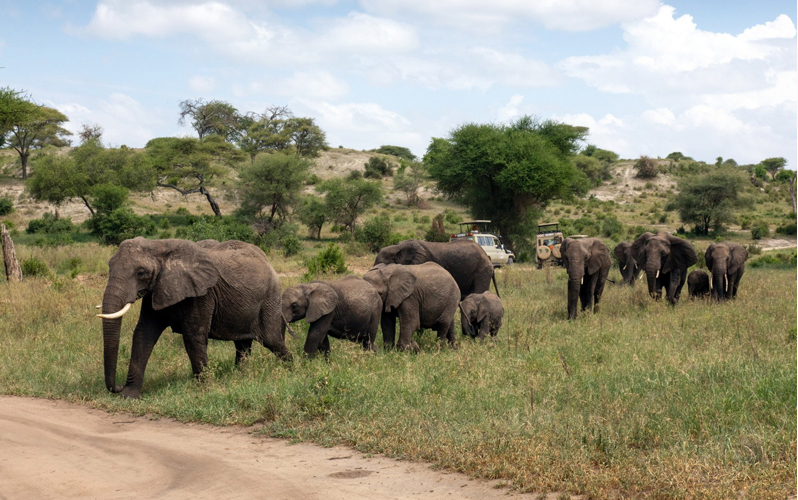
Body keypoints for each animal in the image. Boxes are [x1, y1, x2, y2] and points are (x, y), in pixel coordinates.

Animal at [97, 237, 290, 398]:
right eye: (109, 267)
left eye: (141, 273)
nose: (117, 387)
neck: (160, 246)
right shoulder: (156, 289)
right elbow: (143, 334)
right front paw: (129, 396)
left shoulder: (202, 294)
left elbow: (192, 337)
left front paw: (204, 390)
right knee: (242, 344)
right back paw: (240, 376)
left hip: (270, 298)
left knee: (272, 339)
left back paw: (291, 370)